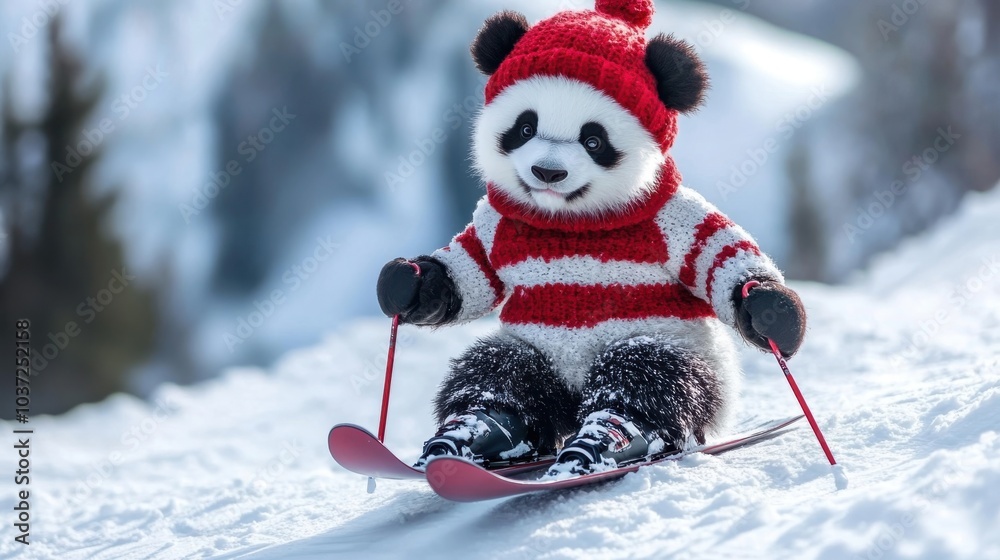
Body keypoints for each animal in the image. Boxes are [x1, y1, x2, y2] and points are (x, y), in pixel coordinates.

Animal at [376, 0, 807, 475]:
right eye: (525, 128)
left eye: (594, 140)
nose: (547, 172)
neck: (572, 222)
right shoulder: (497, 224)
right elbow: (469, 273)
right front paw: (407, 284)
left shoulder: (668, 219)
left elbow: (718, 256)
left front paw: (771, 312)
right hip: (536, 351)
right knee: (501, 371)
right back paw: (470, 435)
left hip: (689, 357)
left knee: (652, 378)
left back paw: (598, 446)